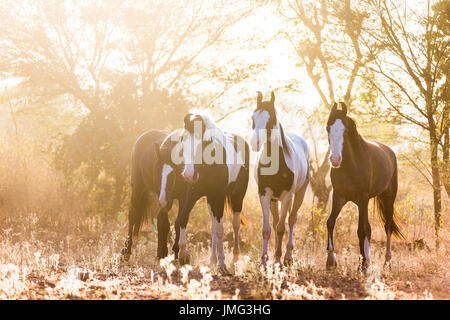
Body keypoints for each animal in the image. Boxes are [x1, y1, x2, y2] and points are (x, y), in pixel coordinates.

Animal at [164, 109, 251, 272]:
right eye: (182, 138)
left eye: (203, 141)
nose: (189, 174)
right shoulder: (192, 194)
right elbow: (182, 219)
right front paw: (183, 254)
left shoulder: (219, 196)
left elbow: (220, 230)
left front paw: (222, 263)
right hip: (211, 200)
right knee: (213, 227)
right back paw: (212, 261)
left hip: (237, 196)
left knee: (235, 225)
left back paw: (234, 260)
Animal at [250, 91, 310, 266]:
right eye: (253, 117)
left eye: (270, 118)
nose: (255, 142)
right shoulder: (264, 194)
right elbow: (267, 229)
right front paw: (264, 261)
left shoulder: (287, 196)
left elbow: (282, 228)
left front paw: (280, 258)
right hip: (273, 199)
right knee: (276, 222)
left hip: (299, 194)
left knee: (291, 220)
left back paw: (288, 256)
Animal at [324, 102, 404, 272]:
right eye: (328, 128)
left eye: (345, 130)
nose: (335, 159)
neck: (350, 165)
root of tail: (390, 152)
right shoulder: (339, 196)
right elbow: (330, 222)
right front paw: (331, 260)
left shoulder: (362, 199)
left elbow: (361, 230)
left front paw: (362, 265)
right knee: (369, 228)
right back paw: (369, 260)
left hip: (388, 198)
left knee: (387, 226)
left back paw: (387, 262)